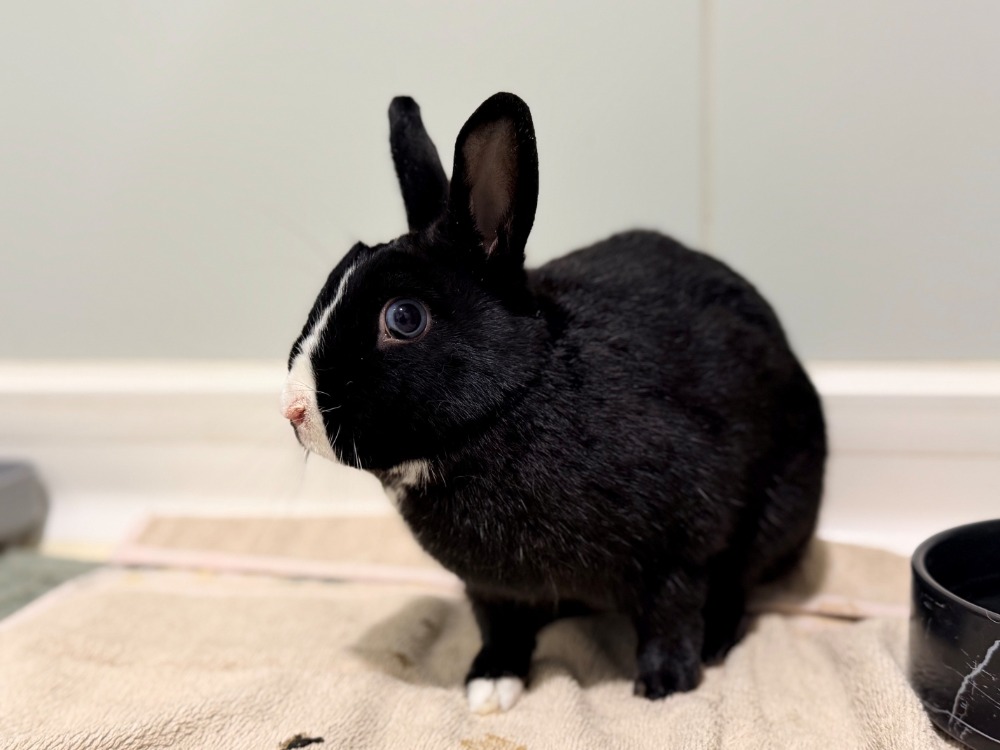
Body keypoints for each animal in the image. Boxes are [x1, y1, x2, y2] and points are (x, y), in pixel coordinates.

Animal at [281, 92, 826, 714]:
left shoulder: (680, 550)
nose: (294, 411)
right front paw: (489, 687)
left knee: (737, 584)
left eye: (404, 317)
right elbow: (500, 628)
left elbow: (671, 613)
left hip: (775, 514)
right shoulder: (491, 588)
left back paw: (713, 641)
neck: (510, 403)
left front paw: (664, 685)